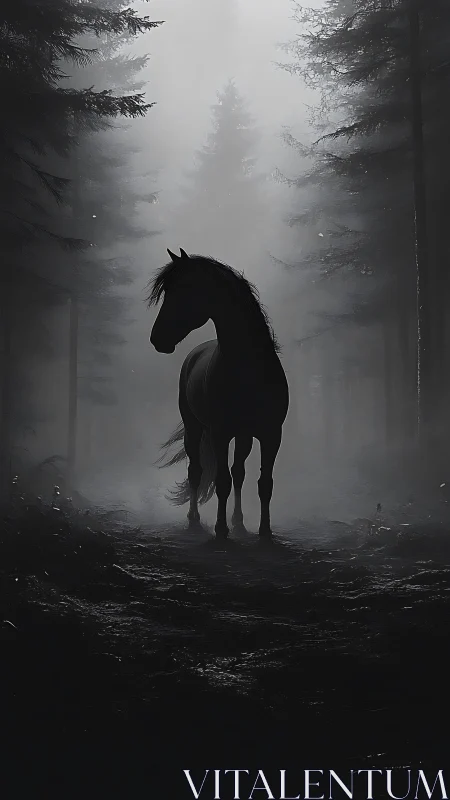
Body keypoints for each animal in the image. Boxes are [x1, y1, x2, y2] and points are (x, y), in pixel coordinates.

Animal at [148, 248, 289, 538]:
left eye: (185, 287)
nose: (157, 338)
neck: (248, 370)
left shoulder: (271, 435)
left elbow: (264, 483)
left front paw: (265, 531)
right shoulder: (220, 433)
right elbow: (221, 480)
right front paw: (221, 530)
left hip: (244, 436)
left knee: (239, 473)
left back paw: (238, 521)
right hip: (195, 429)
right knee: (196, 471)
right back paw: (194, 518)